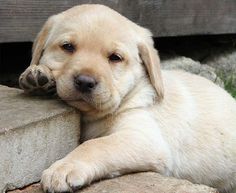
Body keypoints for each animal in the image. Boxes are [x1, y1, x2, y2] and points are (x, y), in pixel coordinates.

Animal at [18, 4, 236, 193]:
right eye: (67, 47)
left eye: (115, 57)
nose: (85, 82)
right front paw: (38, 77)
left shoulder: (142, 137)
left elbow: (96, 145)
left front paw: (64, 168)